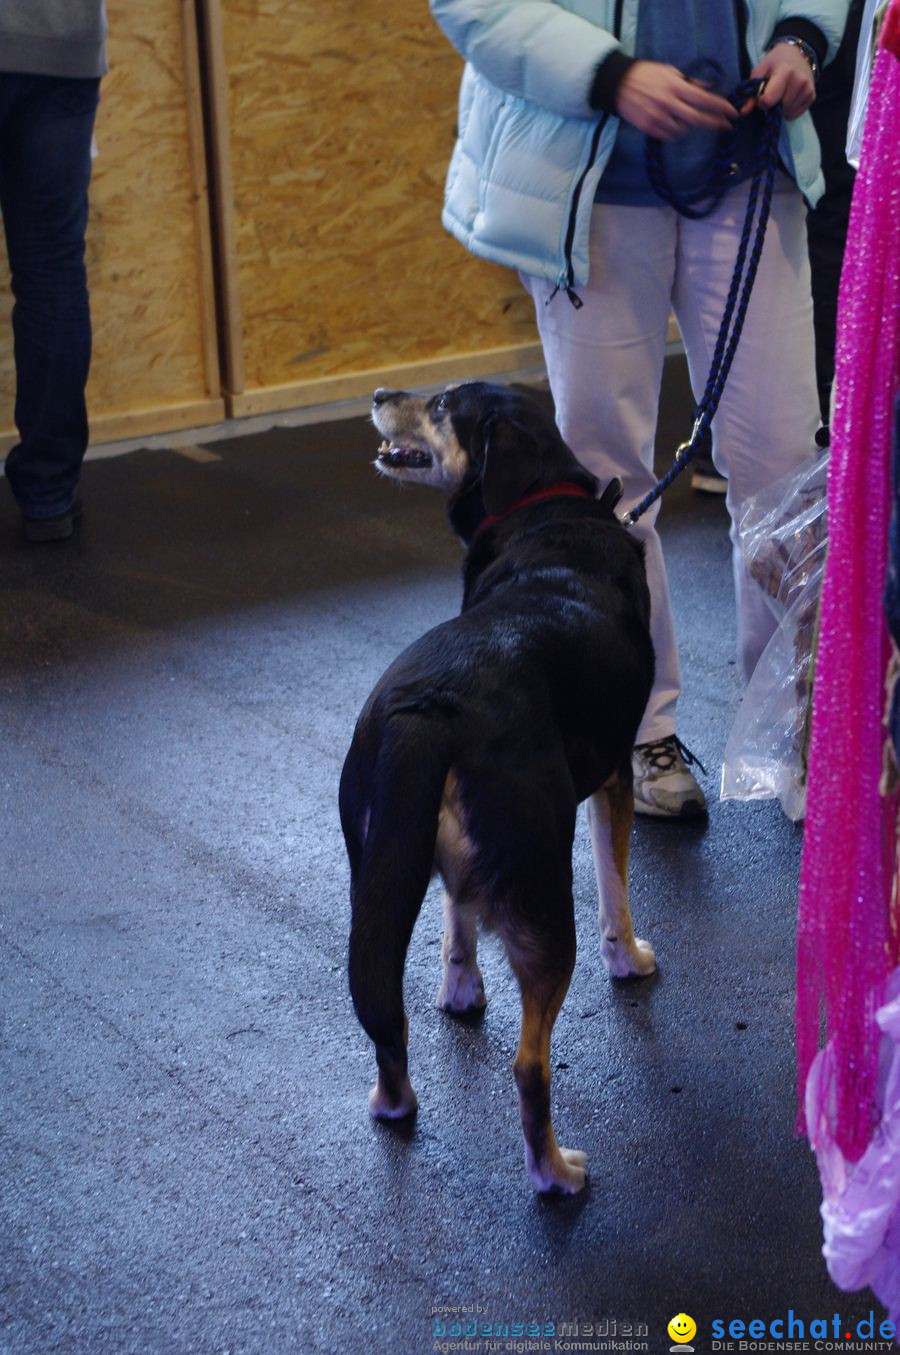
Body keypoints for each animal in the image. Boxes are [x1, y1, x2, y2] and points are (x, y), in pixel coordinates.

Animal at [341, 382, 658, 1197]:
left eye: (441, 405)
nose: (379, 391)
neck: (547, 510)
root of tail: (434, 704)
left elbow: (456, 918)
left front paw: (460, 991)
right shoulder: (613, 775)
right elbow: (617, 887)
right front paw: (630, 958)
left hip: (375, 869)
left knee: (386, 1017)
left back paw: (394, 1102)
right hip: (545, 895)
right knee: (529, 1067)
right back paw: (556, 1172)